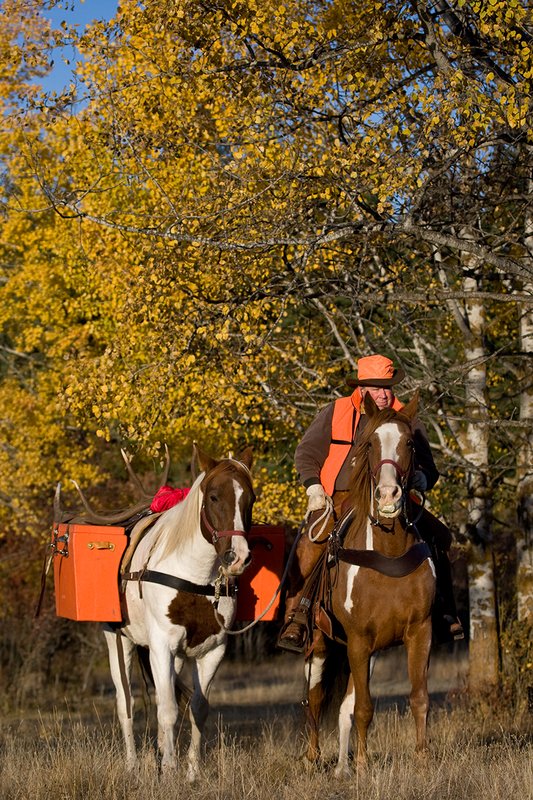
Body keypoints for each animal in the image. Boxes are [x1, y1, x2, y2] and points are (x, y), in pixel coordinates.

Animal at [103, 444, 255, 782]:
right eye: (213, 496)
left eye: (250, 498)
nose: (237, 557)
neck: (194, 577)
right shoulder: (161, 645)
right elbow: (169, 709)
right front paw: (170, 770)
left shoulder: (212, 651)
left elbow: (198, 709)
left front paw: (191, 772)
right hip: (118, 641)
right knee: (125, 703)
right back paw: (132, 764)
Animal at [305, 392, 436, 774]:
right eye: (369, 444)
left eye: (410, 443)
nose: (390, 496)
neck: (388, 552)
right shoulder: (359, 639)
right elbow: (363, 707)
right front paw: (363, 765)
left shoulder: (419, 632)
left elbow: (418, 698)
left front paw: (422, 759)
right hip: (321, 643)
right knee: (315, 699)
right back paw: (314, 758)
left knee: (344, 704)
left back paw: (341, 766)